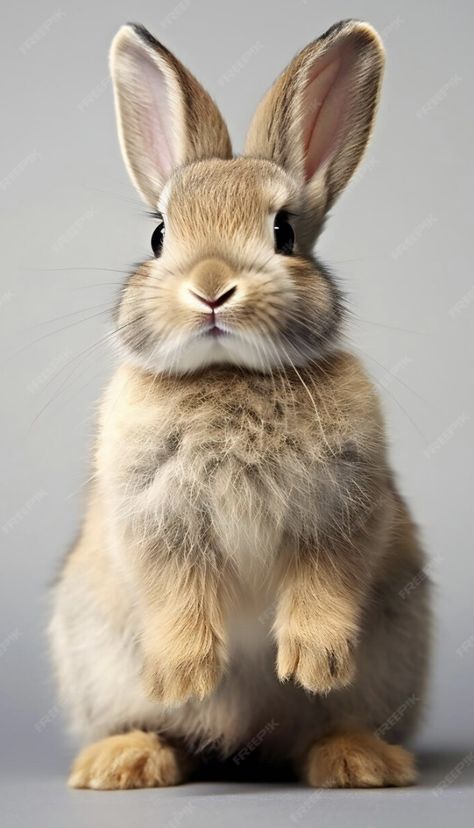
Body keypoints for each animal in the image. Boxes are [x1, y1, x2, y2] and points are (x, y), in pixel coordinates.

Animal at [50, 21, 432, 788]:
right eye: (158, 234)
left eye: (284, 231)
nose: (211, 287)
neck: (228, 373)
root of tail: (248, 745)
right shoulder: (155, 519)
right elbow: (176, 593)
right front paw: (186, 674)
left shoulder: (343, 509)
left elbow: (324, 583)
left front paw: (314, 663)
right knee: (163, 731)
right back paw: (125, 759)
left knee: (329, 725)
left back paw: (358, 761)